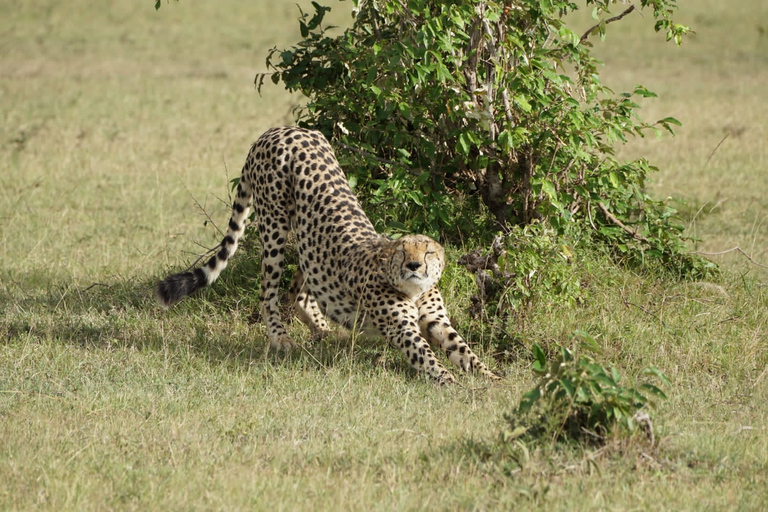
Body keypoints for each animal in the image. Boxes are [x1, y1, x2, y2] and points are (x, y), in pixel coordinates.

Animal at [156, 127, 498, 384]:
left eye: (427, 253)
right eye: (403, 252)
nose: (414, 265)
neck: (413, 290)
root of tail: (280, 130)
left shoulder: (437, 321)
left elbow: (463, 349)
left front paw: (490, 377)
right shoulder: (402, 328)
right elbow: (426, 355)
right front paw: (447, 380)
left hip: (307, 240)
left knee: (301, 291)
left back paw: (323, 330)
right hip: (275, 227)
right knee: (268, 292)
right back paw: (281, 339)